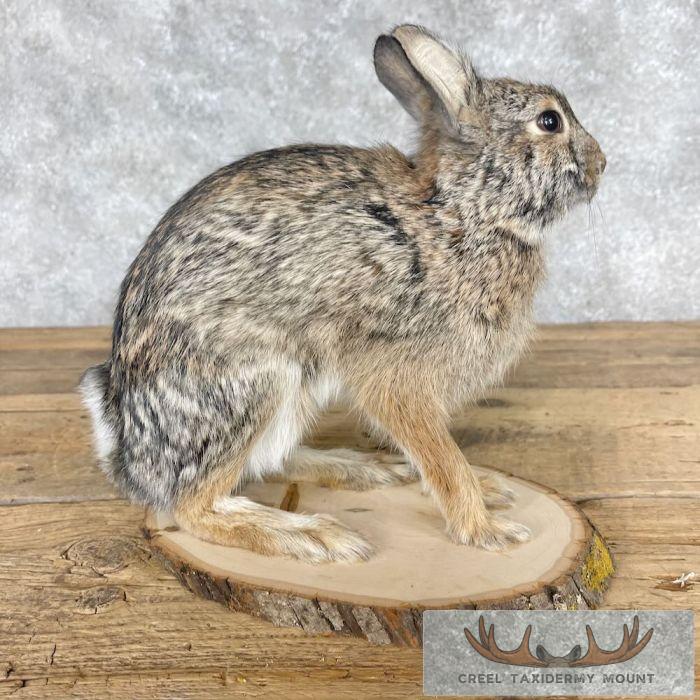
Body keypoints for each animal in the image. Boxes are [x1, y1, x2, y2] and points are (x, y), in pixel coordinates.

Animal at [80, 24, 605, 564]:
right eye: (549, 121)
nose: (602, 163)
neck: (464, 210)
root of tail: (128, 452)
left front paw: (485, 490)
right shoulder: (397, 378)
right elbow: (442, 457)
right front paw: (484, 528)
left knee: (271, 461)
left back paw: (363, 469)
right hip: (256, 384)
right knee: (195, 506)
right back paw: (313, 535)